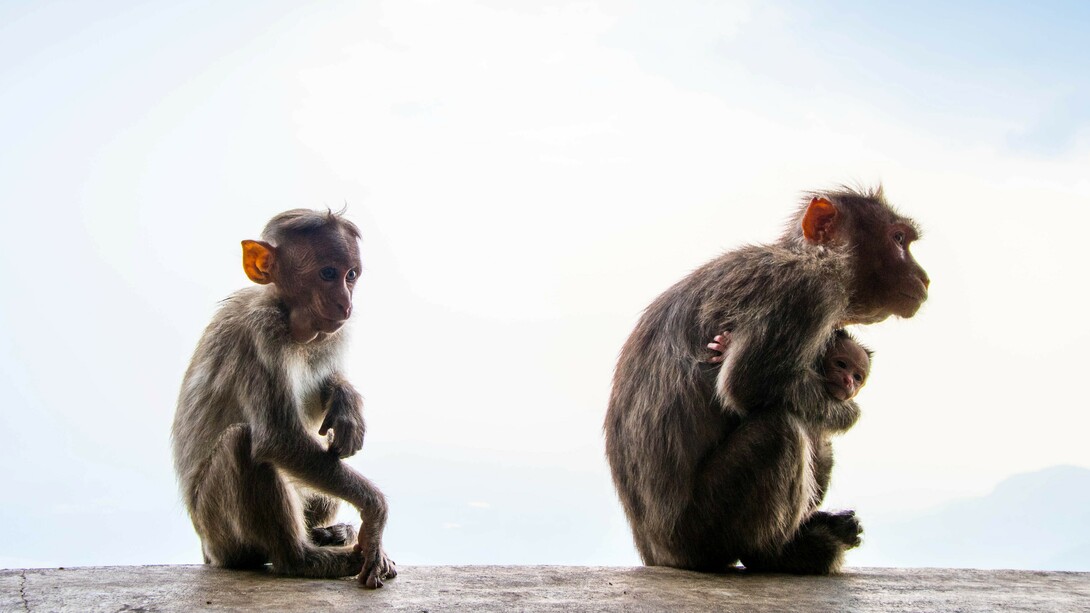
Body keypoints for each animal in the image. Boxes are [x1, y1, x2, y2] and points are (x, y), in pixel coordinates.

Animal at [172, 209, 396, 588]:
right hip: (217, 530)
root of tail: (208, 551)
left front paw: (345, 402)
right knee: (242, 442)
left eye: (351, 275)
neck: (289, 317)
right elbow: (278, 438)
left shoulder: (329, 336)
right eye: (327, 273)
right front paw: (375, 512)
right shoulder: (261, 334)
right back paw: (303, 558)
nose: (346, 303)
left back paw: (328, 533)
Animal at [604, 186, 928, 574]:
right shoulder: (803, 290)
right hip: (701, 530)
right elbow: (750, 383)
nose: (924, 277)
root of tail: (656, 553)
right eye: (898, 240)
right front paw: (848, 413)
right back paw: (776, 554)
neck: (814, 258)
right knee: (781, 429)